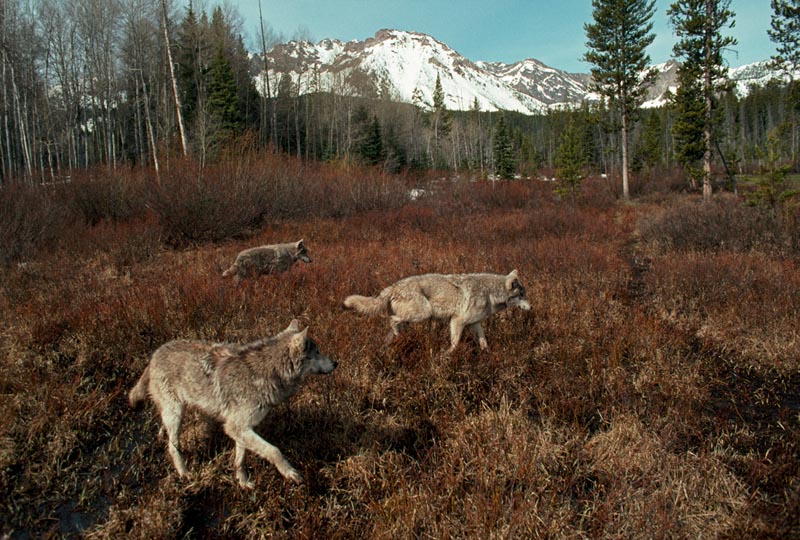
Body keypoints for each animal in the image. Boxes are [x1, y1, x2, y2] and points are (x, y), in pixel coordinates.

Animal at [128, 320, 337, 488]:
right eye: (318, 352)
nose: (335, 363)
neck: (267, 373)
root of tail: (155, 354)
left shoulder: (241, 427)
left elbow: (240, 459)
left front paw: (243, 482)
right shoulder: (235, 426)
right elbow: (274, 451)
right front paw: (290, 473)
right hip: (176, 414)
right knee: (172, 447)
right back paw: (185, 474)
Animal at [343, 270, 531, 352]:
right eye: (522, 295)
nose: (531, 307)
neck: (490, 293)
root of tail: (393, 286)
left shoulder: (475, 323)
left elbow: (484, 342)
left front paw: (488, 355)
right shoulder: (457, 321)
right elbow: (455, 344)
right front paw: (446, 356)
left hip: (410, 320)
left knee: (388, 334)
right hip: (422, 314)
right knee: (392, 321)